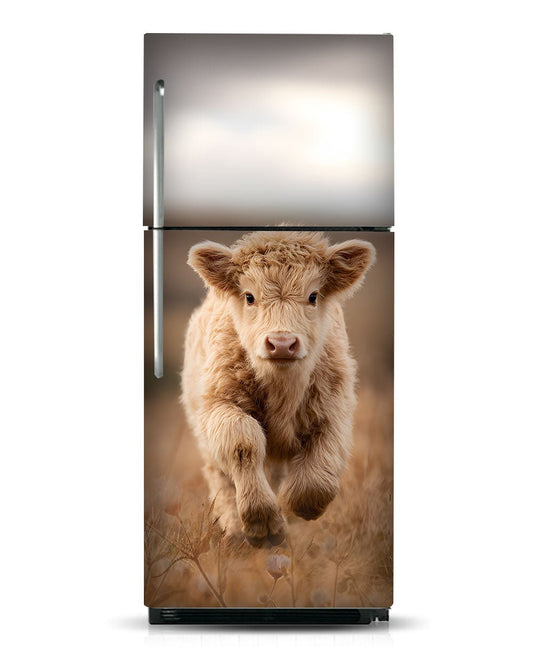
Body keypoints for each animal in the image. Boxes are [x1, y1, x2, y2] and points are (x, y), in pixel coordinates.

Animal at [181, 230, 376, 547]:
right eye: (249, 296)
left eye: (313, 295)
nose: (282, 343)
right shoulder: (219, 405)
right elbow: (243, 443)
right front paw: (264, 523)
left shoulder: (334, 410)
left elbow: (317, 477)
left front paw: (293, 506)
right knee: (222, 480)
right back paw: (235, 533)